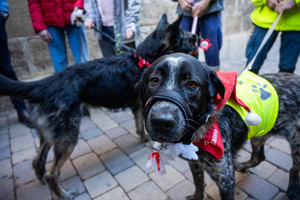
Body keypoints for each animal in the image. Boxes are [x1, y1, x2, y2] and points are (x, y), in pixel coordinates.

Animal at [0, 15, 197, 198]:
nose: (196, 36)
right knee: (52, 174)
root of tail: (45, 84)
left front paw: (143, 139)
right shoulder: (144, 107)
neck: (143, 60)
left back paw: (43, 182)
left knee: (37, 162)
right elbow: (144, 127)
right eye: (184, 36)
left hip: (50, 135)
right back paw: (64, 194)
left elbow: (140, 127)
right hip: (67, 137)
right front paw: (148, 141)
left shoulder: (138, 108)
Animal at [139, 52, 300, 199]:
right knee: (259, 157)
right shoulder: (195, 164)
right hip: (259, 134)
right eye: (154, 81)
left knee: (294, 169)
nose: (162, 122)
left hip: (296, 144)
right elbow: (198, 184)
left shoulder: (225, 178)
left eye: (191, 84)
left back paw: (293, 191)